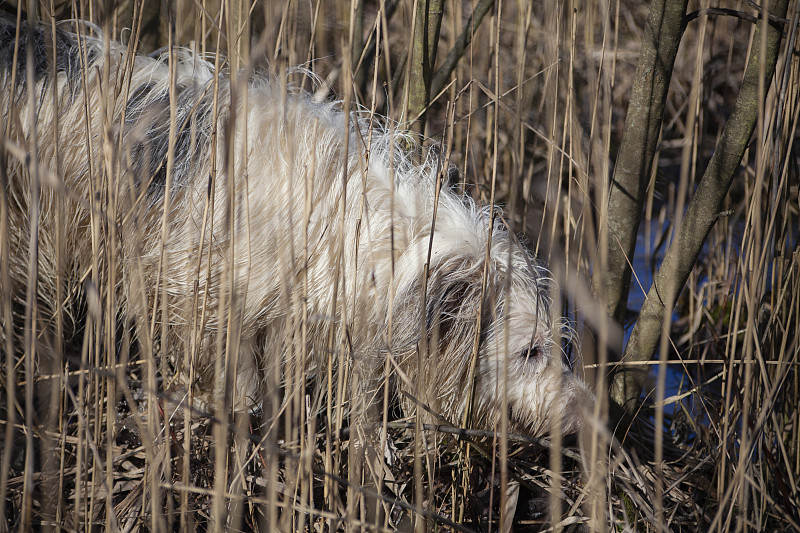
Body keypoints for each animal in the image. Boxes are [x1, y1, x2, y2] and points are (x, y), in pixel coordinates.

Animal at [0, 18, 588, 438]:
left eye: (560, 347)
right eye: (529, 351)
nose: (582, 413)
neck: (344, 223)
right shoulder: (206, 290)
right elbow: (232, 374)